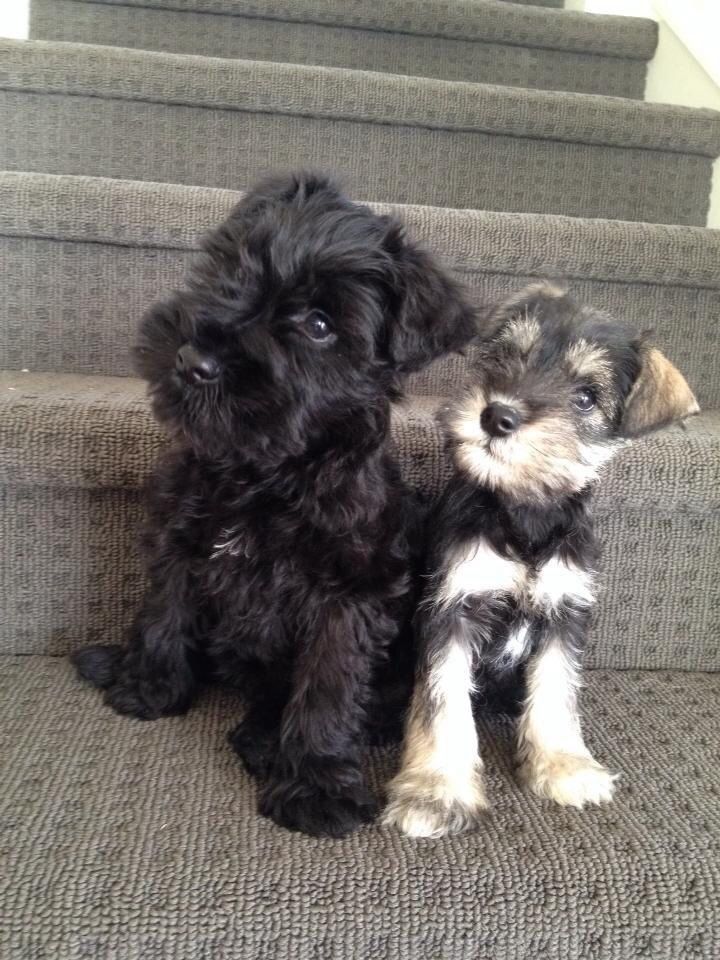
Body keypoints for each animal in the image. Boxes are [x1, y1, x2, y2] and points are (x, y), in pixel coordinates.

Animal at [71, 172, 478, 840]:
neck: (265, 467)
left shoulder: (348, 593)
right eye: (230, 265)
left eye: (319, 325)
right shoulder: (180, 537)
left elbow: (327, 686)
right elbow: (164, 610)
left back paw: (266, 741)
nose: (194, 360)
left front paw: (314, 785)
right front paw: (148, 685)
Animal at [386, 282, 700, 836]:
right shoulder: (453, 610)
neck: (525, 512)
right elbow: (442, 703)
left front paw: (563, 766)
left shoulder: (564, 613)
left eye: (586, 397)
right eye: (510, 356)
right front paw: (436, 792)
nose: (497, 416)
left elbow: (556, 692)